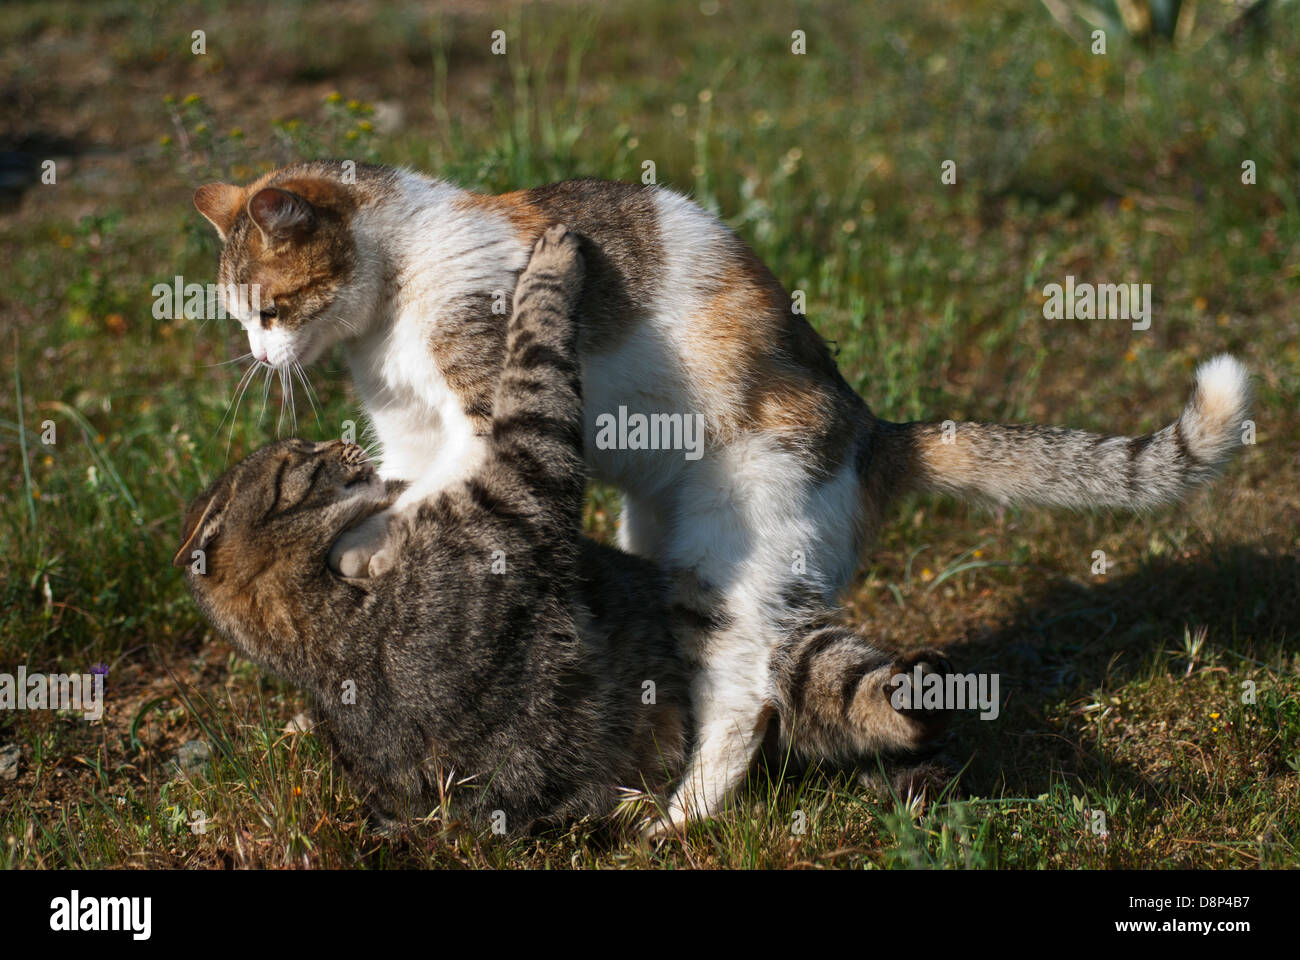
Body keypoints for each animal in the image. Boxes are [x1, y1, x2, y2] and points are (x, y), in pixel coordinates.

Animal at [178, 226, 956, 832]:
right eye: (300, 462)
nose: (340, 444)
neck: (312, 624)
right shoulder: (522, 481)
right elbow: (536, 365)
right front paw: (550, 266)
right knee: (788, 706)